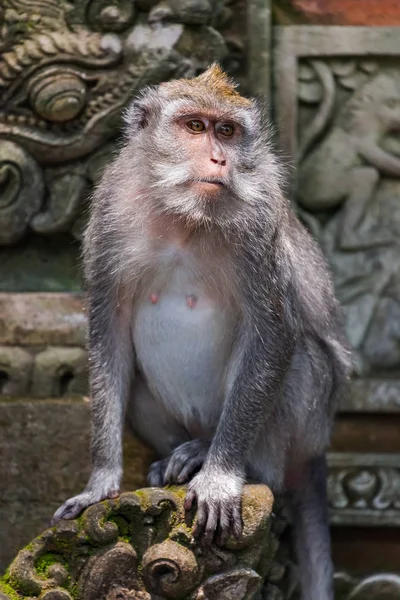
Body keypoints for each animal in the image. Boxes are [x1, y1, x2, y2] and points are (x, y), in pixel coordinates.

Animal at [52, 64, 350, 600]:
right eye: (195, 126)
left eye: (227, 131)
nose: (218, 159)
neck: (183, 218)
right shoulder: (109, 214)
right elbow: (108, 335)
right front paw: (100, 481)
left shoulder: (259, 225)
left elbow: (275, 332)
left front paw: (220, 478)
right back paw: (180, 452)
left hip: (310, 423)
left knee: (300, 360)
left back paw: (216, 456)